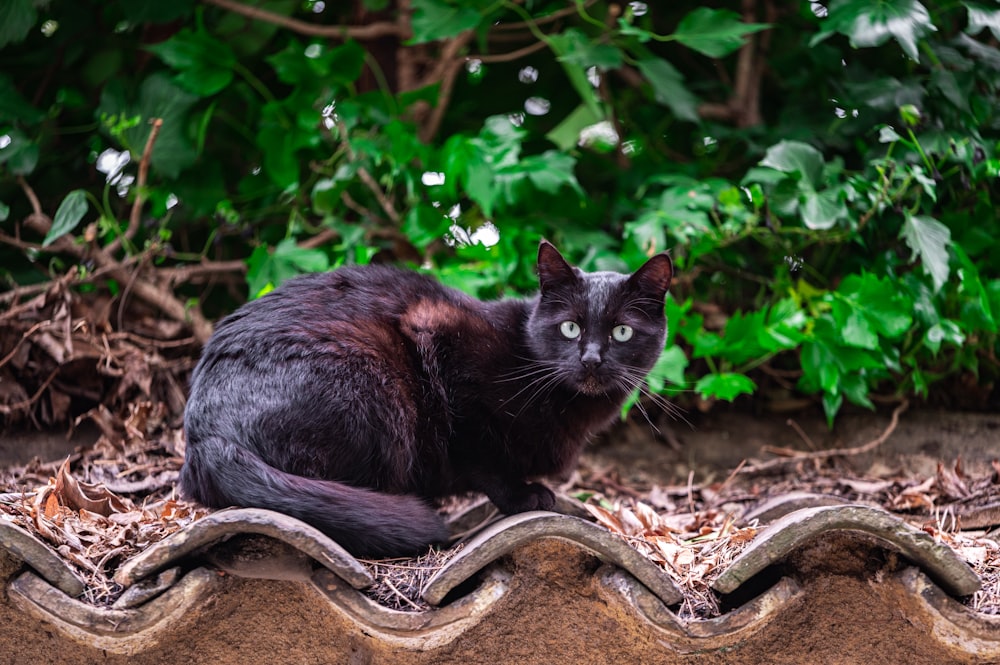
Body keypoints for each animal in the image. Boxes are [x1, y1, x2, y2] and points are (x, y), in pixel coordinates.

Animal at [184, 240, 676, 556]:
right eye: (570, 327)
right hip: (373, 385)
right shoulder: (437, 335)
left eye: (622, 332)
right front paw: (522, 496)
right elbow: (479, 448)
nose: (591, 359)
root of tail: (205, 439)